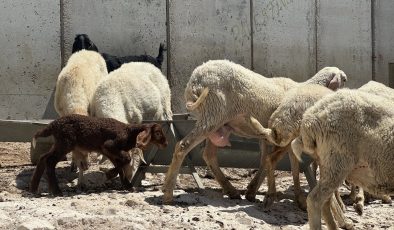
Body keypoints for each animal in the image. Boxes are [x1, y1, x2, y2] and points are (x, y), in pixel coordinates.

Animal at [29, 114, 167, 195]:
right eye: (158, 133)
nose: (166, 144)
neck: (129, 133)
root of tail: (53, 124)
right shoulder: (109, 146)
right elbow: (126, 160)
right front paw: (110, 174)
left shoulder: (107, 150)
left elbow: (121, 165)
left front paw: (127, 185)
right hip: (65, 143)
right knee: (50, 160)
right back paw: (56, 191)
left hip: (60, 143)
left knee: (43, 157)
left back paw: (34, 188)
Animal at [162, 59, 346, 207]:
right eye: (344, 79)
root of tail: (194, 81)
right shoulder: (287, 135)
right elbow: (292, 166)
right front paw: (297, 198)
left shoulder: (268, 136)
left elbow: (264, 160)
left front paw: (252, 191)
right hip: (212, 113)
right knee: (183, 146)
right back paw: (168, 193)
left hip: (216, 122)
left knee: (209, 155)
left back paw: (231, 190)